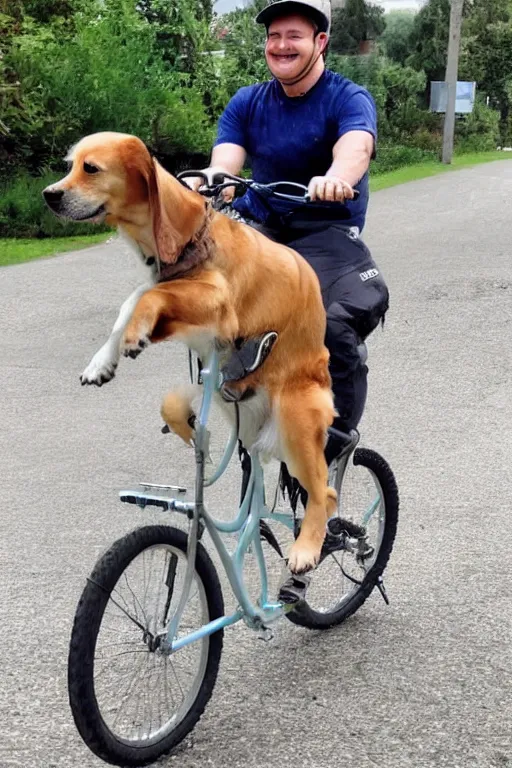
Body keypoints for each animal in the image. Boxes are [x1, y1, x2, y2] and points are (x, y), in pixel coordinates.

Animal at [44, 132, 338, 572]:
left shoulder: (219, 302)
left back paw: (306, 548)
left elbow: (150, 295)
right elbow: (132, 301)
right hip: (235, 416)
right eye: (69, 165)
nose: (49, 195)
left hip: (295, 421)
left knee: (324, 493)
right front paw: (102, 361)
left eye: (90, 168)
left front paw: (133, 337)